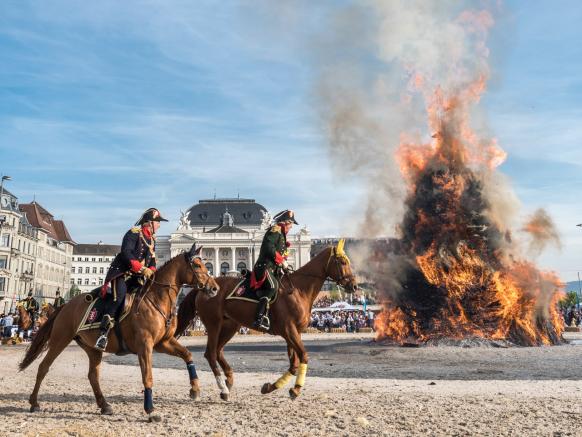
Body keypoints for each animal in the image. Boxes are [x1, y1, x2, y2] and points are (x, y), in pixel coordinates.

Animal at [19, 244, 219, 420]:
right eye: (197, 265)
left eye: (205, 264)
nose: (215, 288)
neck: (156, 298)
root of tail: (65, 305)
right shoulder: (145, 345)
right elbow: (147, 376)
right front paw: (150, 411)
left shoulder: (163, 343)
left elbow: (187, 355)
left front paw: (195, 390)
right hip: (60, 339)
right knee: (43, 367)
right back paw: (34, 403)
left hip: (92, 348)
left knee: (93, 375)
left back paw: (104, 405)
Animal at [176, 240, 358, 400]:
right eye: (342, 262)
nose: (355, 286)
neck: (299, 290)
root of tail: (205, 287)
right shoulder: (289, 330)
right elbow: (304, 356)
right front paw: (296, 389)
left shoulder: (293, 333)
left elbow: (294, 364)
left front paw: (270, 387)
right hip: (214, 324)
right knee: (211, 353)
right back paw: (222, 388)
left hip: (230, 326)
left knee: (218, 351)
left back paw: (228, 381)